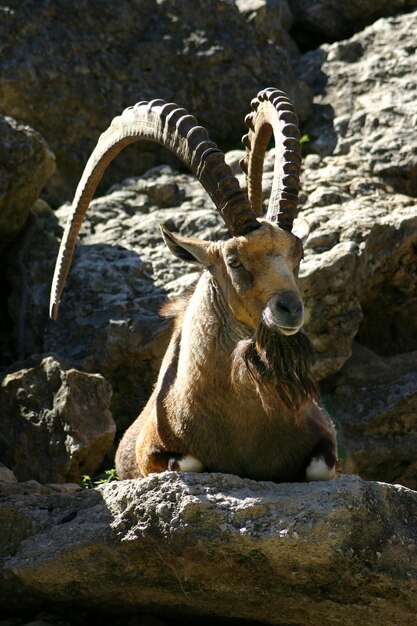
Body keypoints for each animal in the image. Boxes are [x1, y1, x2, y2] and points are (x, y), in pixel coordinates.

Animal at [49, 88, 334, 480]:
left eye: (298, 256)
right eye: (234, 260)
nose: (290, 309)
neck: (241, 422)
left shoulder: (324, 440)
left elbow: (319, 467)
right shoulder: (154, 453)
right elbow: (188, 462)